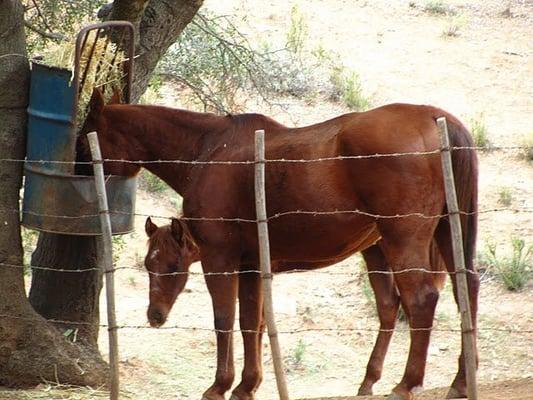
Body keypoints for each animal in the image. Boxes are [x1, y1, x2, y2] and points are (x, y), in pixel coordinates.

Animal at [79, 90, 478, 400]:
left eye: (86, 138)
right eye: (149, 265)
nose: (155, 316)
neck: (209, 150)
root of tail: (435, 117)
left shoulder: (219, 259)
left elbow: (224, 319)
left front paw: (220, 385)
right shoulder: (252, 264)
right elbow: (249, 322)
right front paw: (246, 385)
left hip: (400, 240)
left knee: (421, 300)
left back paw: (406, 384)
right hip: (439, 235)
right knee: (462, 290)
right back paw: (456, 380)